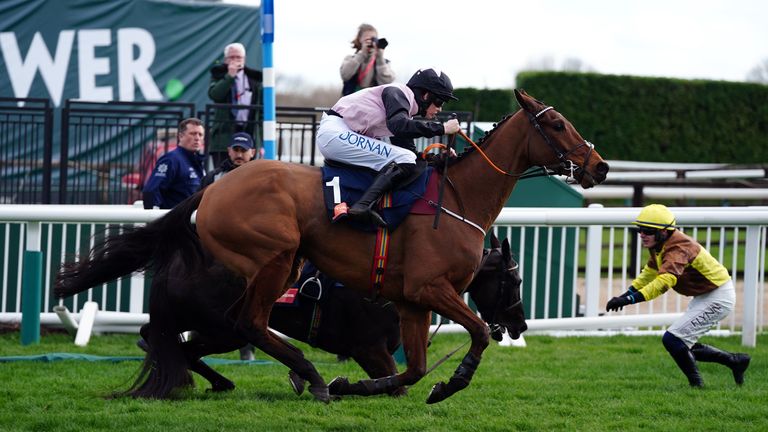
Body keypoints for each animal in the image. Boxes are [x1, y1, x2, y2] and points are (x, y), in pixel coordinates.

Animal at [186, 89, 608, 404]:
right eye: (558, 124)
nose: (600, 167)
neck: (460, 199)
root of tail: (214, 188)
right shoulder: (428, 288)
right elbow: (478, 333)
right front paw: (451, 383)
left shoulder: (411, 303)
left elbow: (414, 370)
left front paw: (353, 385)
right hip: (275, 260)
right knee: (248, 323)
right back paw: (310, 376)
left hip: (277, 271)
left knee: (230, 324)